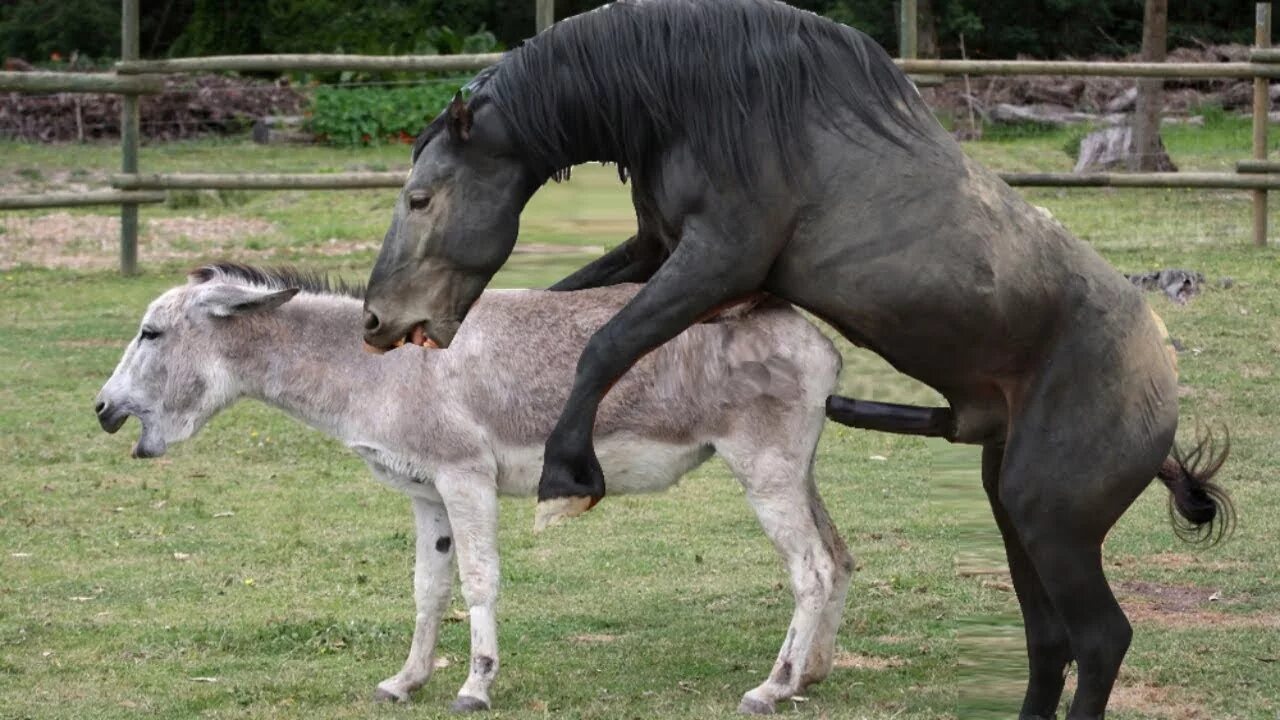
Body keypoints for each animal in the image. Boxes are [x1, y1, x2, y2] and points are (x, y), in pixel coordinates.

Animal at [358, 2, 1228, 712]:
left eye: (420, 198)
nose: (377, 323)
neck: (699, 102)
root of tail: (1162, 393)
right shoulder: (658, 250)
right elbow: (571, 305)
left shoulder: (715, 262)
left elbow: (604, 344)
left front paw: (569, 477)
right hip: (1013, 511)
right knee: (1050, 642)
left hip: (1052, 522)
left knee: (1100, 639)